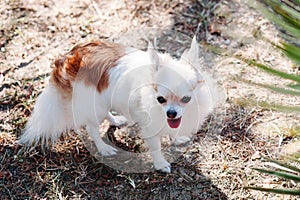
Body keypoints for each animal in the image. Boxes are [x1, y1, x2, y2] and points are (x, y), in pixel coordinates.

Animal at [19, 36, 213, 173]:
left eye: (186, 99)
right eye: (161, 99)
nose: (171, 113)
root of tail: (65, 59)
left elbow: (173, 130)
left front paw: (176, 138)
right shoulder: (150, 127)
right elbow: (156, 146)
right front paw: (160, 164)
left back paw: (116, 121)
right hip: (94, 105)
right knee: (91, 129)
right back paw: (104, 148)